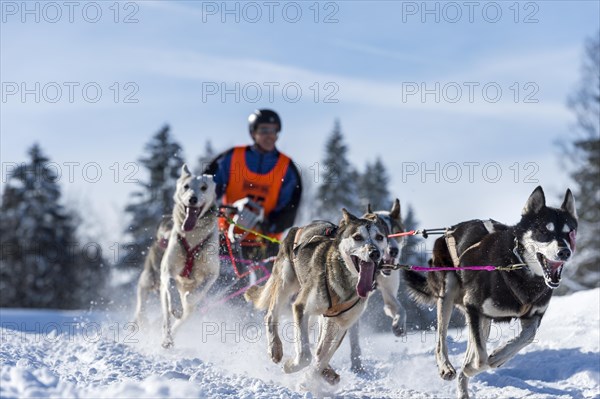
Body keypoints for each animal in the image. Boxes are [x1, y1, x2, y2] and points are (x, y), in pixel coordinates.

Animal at [157, 164, 220, 348]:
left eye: (204, 187)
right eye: (186, 186)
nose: (192, 199)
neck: (193, 239)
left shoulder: (212, 273)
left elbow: (198, 291)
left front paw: (188, 298)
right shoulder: (168, 271)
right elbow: (171, 283)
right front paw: (178, 305)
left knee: (182, 318)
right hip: (164, 297)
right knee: (167, 318)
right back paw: (167, 337)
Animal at [245, 211, 390, 386]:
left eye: (379, 237)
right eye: (357, 237)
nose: (374, 252)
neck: (347, 282)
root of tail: (301, 227)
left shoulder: (342, 324)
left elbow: (321, 357)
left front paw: (310, 380)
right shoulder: (301, 307)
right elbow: (306, 356)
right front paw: (291, 366)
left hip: (323, 317)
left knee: (318, 346)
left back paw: (327, 371)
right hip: (285, 282)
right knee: (271, 315)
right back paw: (275, 348)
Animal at [404, 188, 576, 399]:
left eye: (570, 232)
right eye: (544, 231)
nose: (564, 252)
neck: (517, 266)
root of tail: (449, 230)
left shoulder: (533, 315)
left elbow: (527, 336)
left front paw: (500, 355)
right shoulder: (474, 307)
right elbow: (480, 360)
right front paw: (478, 365)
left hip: (481, 318)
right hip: (448, 293)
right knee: (441, 339)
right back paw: (446, 367)